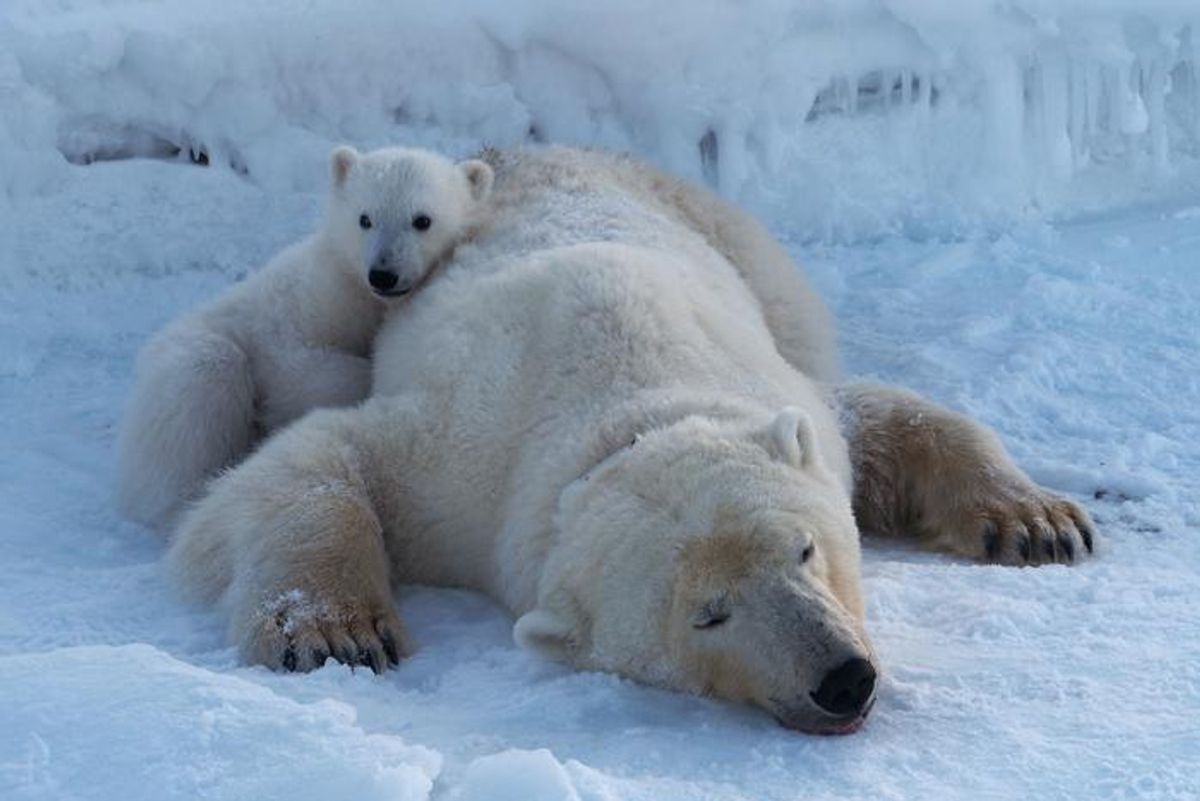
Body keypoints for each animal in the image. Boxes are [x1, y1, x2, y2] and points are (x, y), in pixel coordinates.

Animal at [115, 145, 495, 531]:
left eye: (422, 220)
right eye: (364, 218)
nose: (383, 274)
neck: (358, 294)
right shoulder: (301, 308)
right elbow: (298, 367)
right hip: (188, 355)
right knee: (201, 383)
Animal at [167, 146, 1094, 734]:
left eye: (804, 548)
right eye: (708, 615)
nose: (842, 679)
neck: (624, 401)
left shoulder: (771, 385)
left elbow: (880, 418)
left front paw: (1038, 522)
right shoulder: (465, 465)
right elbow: (316, 460)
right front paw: (337, 632)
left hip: (739, 244)